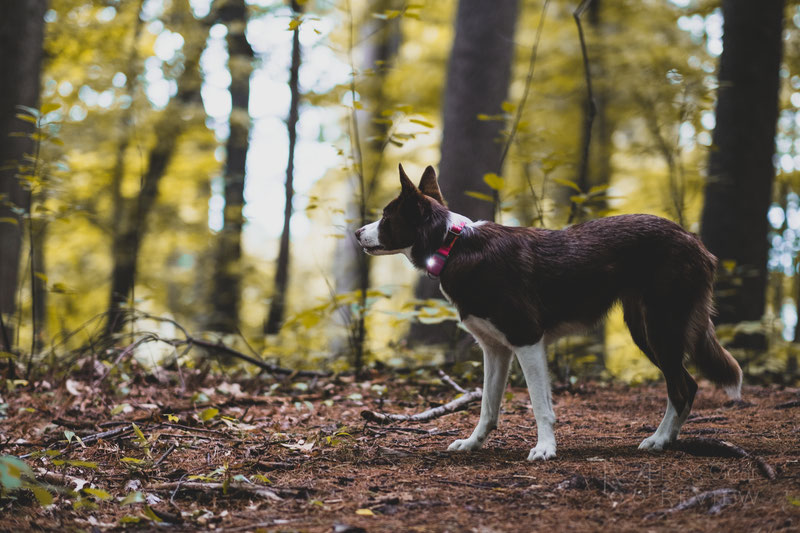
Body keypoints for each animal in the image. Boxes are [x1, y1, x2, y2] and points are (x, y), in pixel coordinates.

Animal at [356, 164, 744, 460]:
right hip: (645, 328)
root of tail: (695, 241)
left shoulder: (527, 339)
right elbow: (488, 407)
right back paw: (670, 439)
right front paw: (472, 443)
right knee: (688, 384)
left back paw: (659, 440)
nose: (358, 232)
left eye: (386, 216)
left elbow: (540, 406)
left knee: (681, 388)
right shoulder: (495, 350)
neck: (454, 246)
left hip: (661, 327)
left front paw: (545, 449)